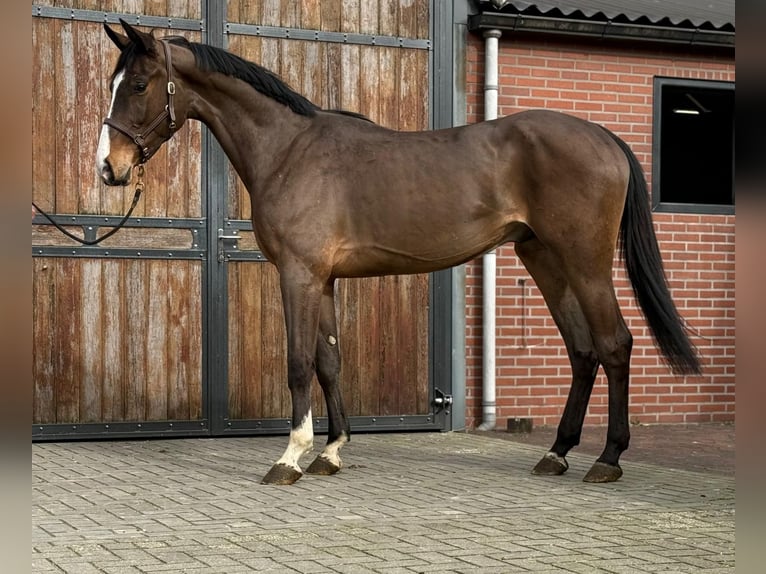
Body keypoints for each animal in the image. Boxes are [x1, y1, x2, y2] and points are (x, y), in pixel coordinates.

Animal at [96, 20, 700, 485]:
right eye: (113, 83)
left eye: (141, 84)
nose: (109, 167)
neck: (290, 150)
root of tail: (602, 135)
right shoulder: (324, 279)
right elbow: (330, 362)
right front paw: (331, 453)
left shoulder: (298, 275)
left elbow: (298, 363)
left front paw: (290, 458)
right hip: (545, 260)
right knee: (582, 350)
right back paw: (557, 453)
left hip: (585, 261)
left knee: (614, 344)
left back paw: (608, 458)